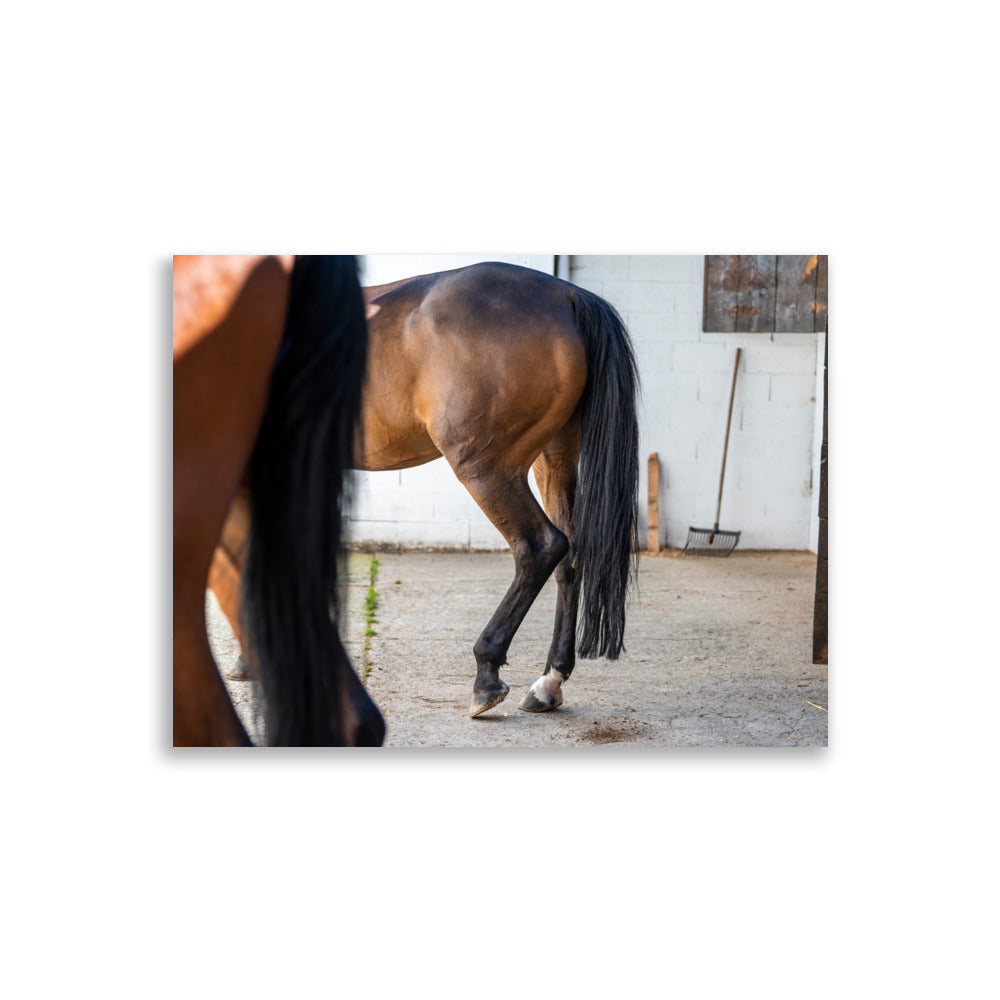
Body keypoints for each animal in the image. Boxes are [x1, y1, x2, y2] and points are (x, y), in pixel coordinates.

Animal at [211, 262, 640, 724]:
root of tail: (567, 296)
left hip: (487, 469)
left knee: (540, 547)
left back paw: (487, 674)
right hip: (554, 459)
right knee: (571, 556)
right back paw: (548, 684)